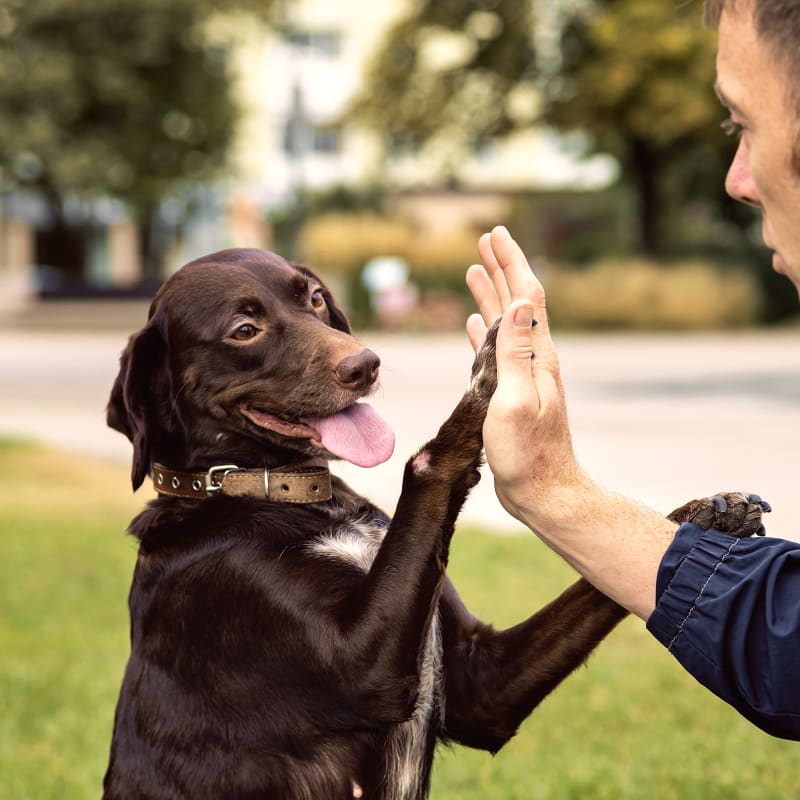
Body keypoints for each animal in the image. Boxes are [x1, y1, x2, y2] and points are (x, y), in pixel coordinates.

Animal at [101, 247, 768, 796]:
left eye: (312, 298)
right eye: (245, 329)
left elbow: (598, 588)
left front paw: (704, 520)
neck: (274, 493)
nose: (366, 364)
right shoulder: (364, 667)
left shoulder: (479, 682)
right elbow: (427, 461)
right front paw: (491, 371)